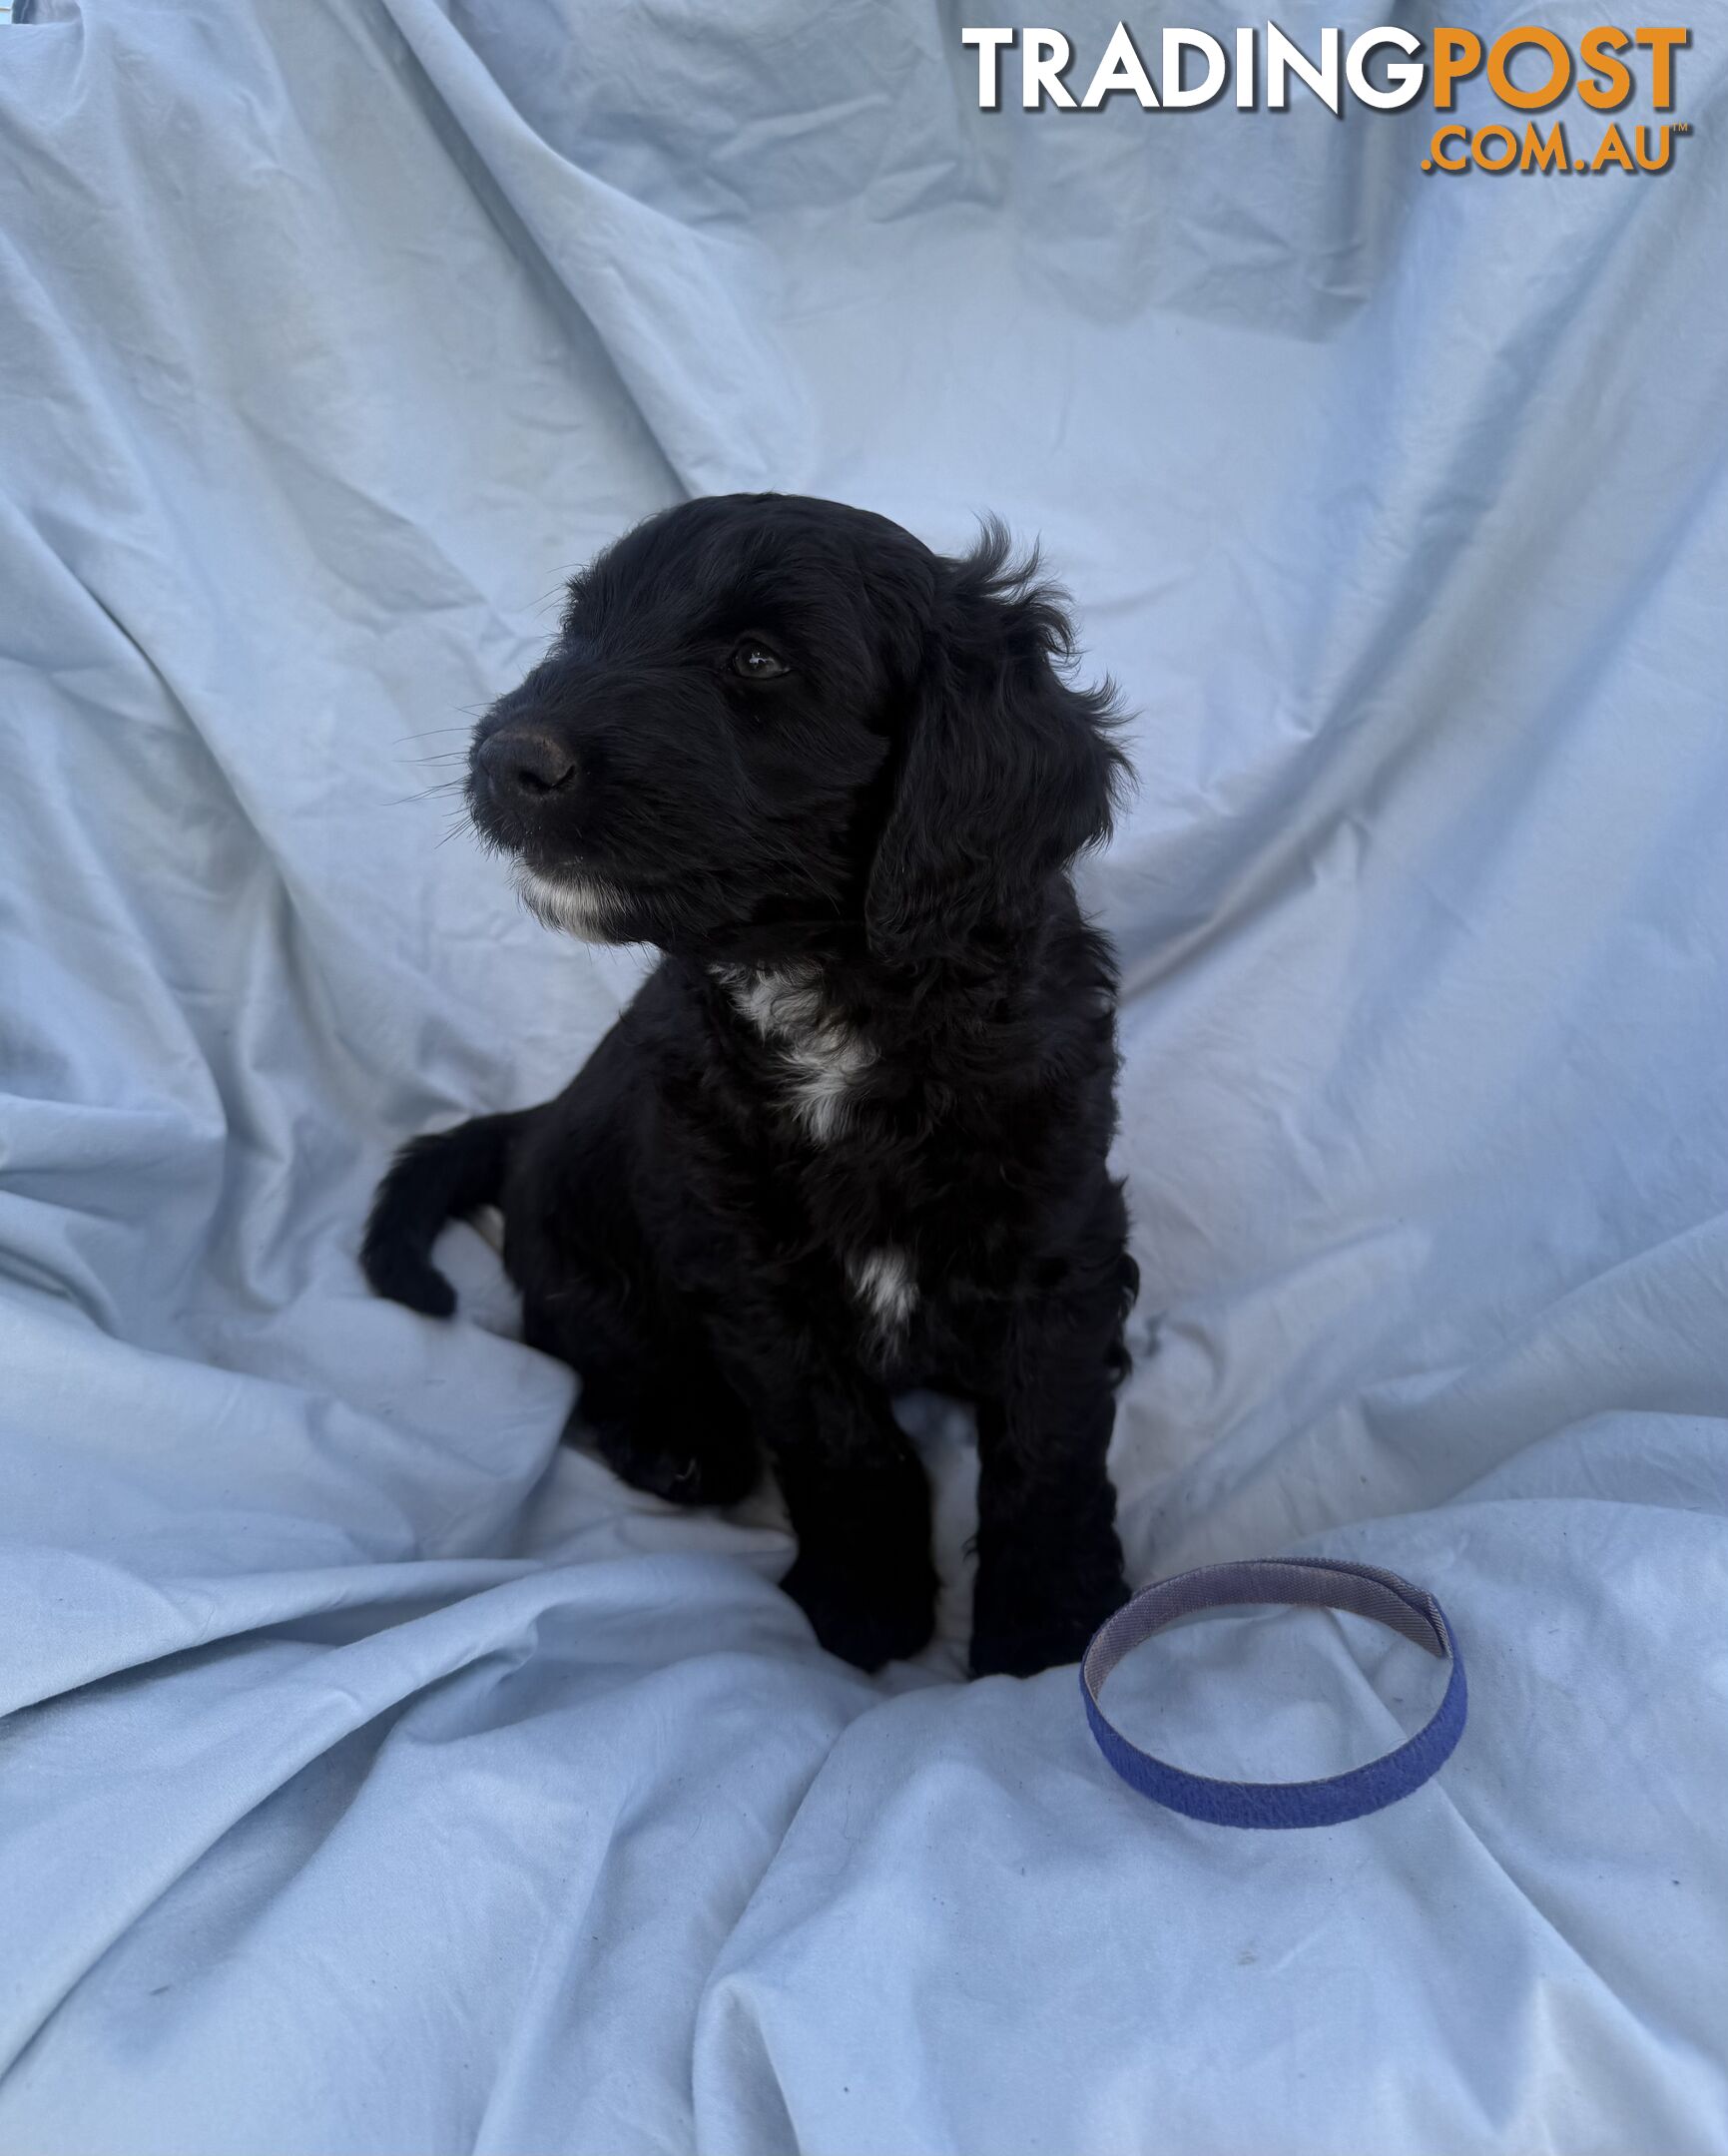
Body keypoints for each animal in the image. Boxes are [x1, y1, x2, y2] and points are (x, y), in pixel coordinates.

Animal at [364, 495, 1139, 1673]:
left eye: (757, 660)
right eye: (583, 626)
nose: (506, 757)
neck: (828, 994)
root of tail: (533, 1121)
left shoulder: (1055, 1226)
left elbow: (1050, 1435)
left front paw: (1046, 1624)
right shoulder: (743, 1263)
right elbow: (840, 1439)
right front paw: (867, 1604)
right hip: (585, 1252)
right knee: (581, 1336)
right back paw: (671, 1438)